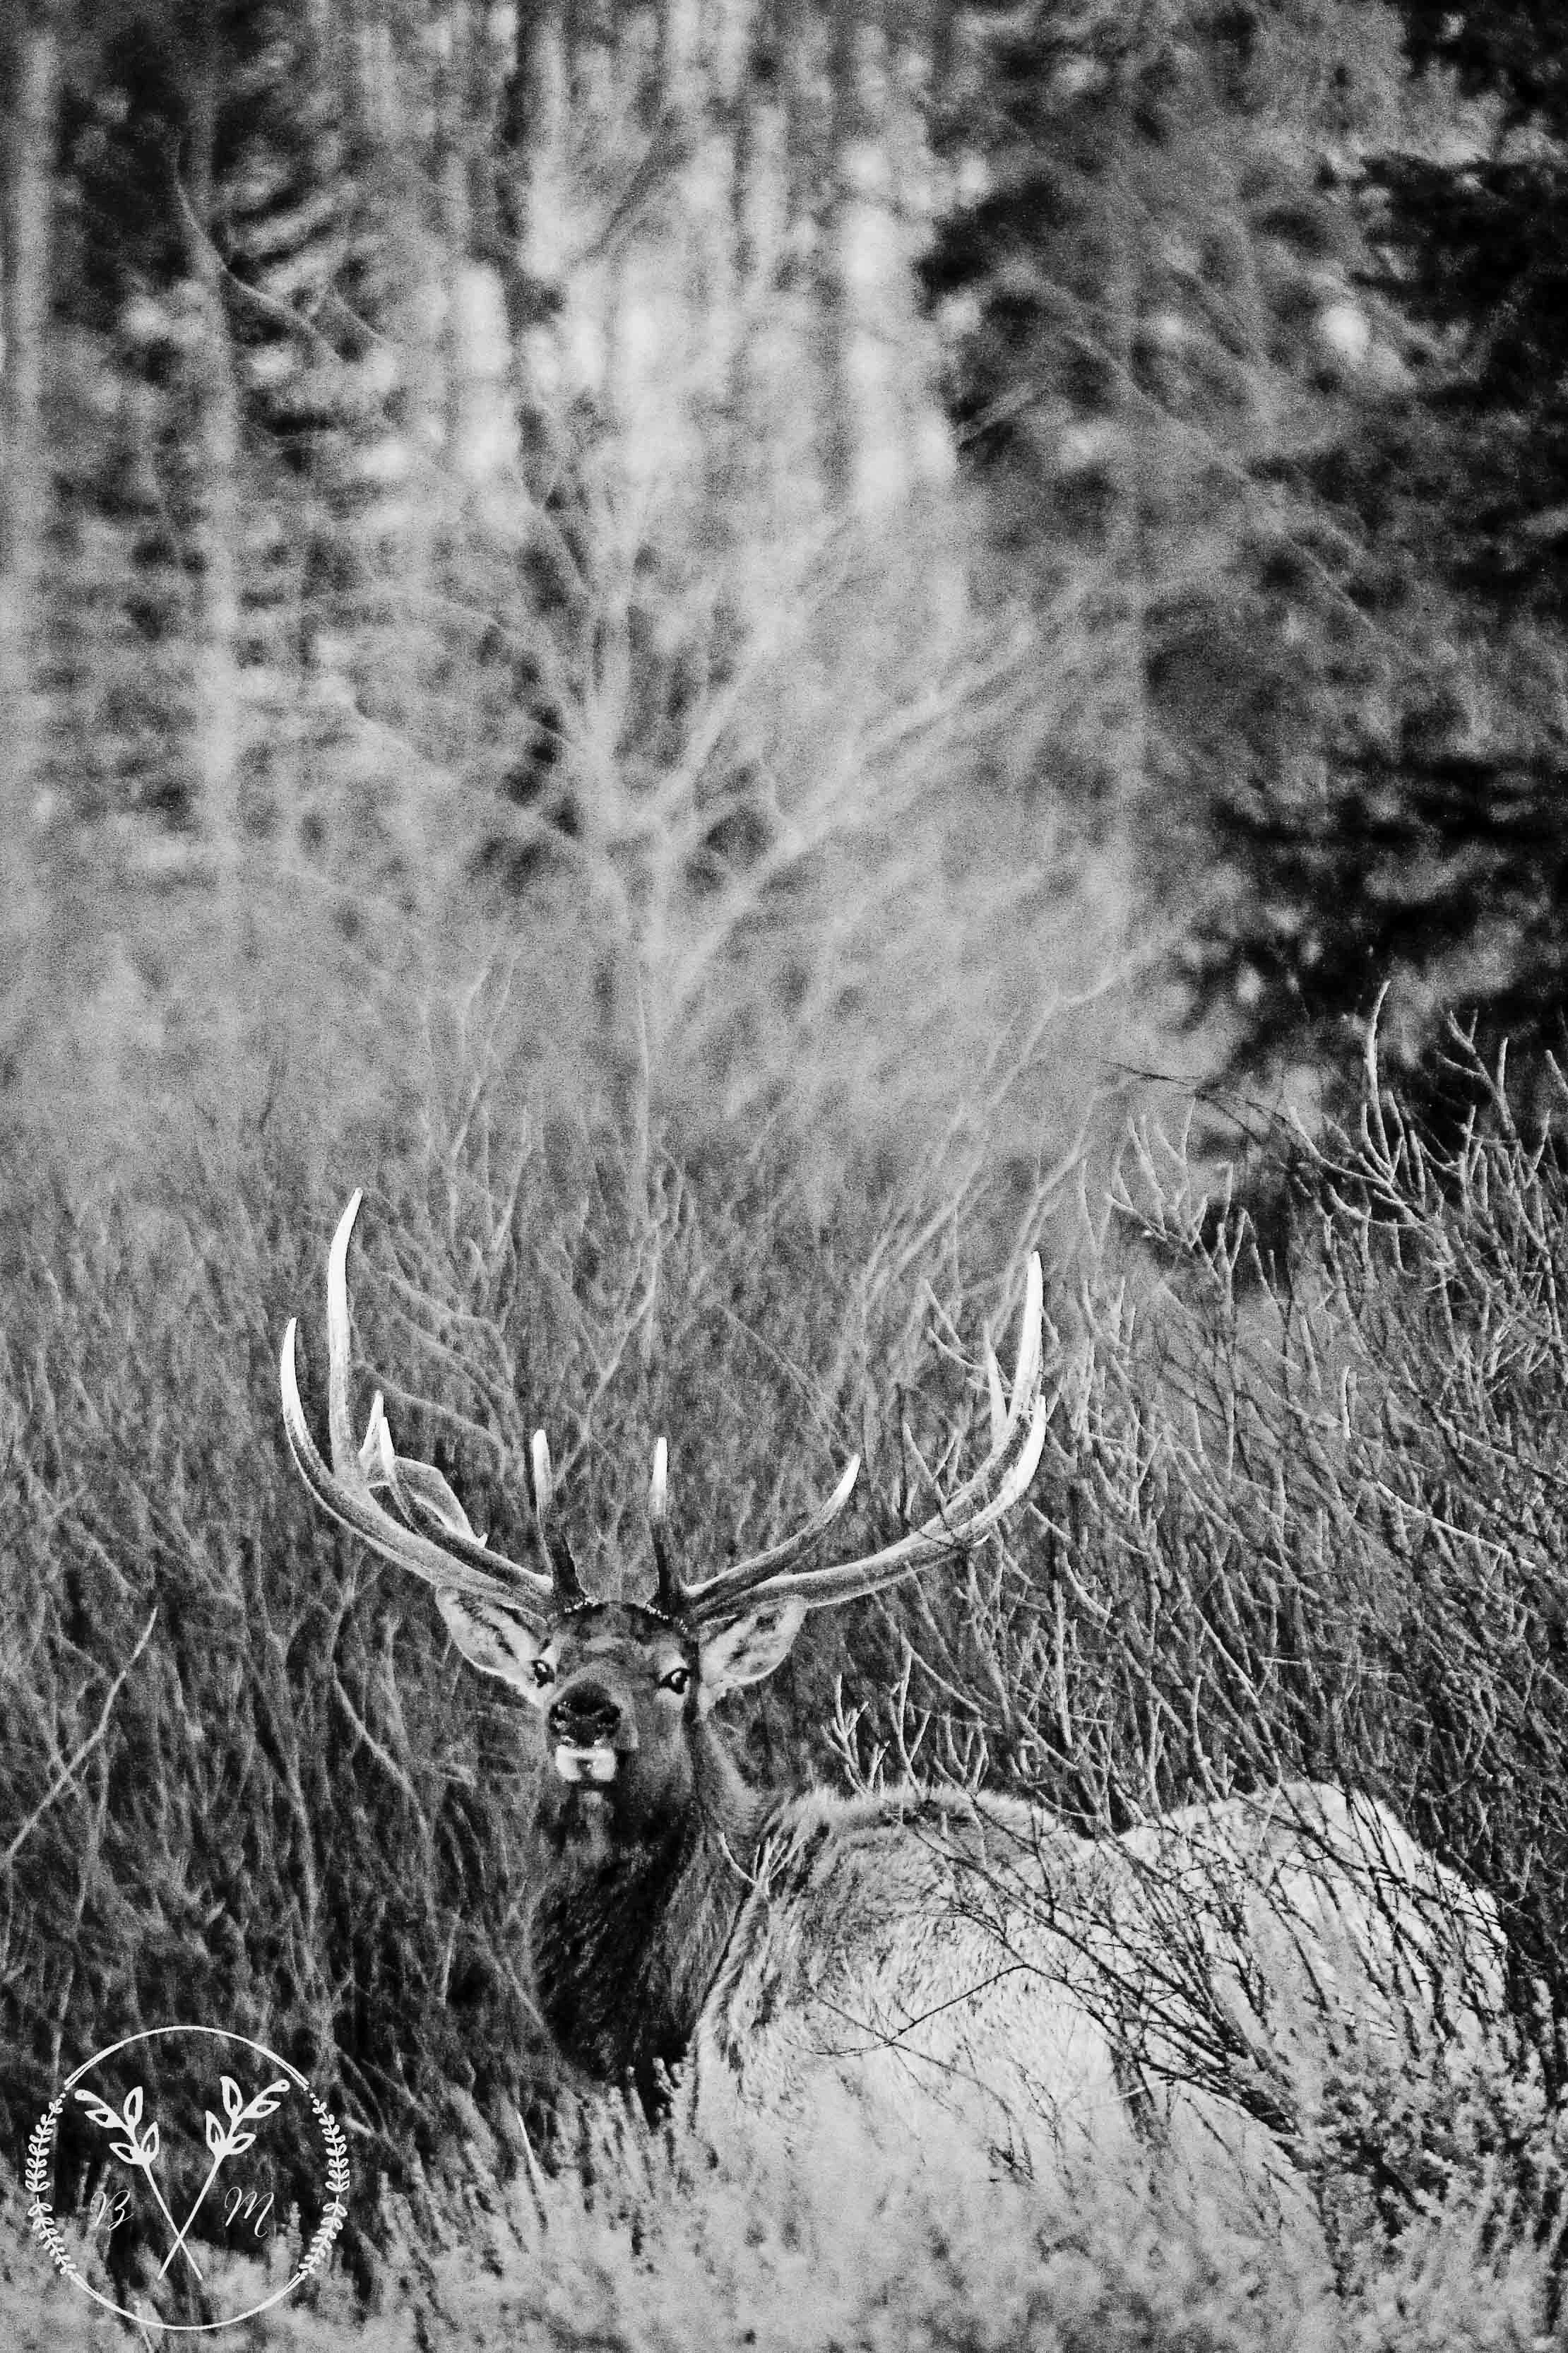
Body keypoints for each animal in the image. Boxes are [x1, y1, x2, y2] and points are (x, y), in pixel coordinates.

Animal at [279, 1194, 1504, 2239]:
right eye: (541, 1664)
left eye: (678, 1673)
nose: (584, 1711)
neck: (676, 1998)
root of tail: (1442, 1918)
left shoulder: (808, 2170)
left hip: (1230, 2142)